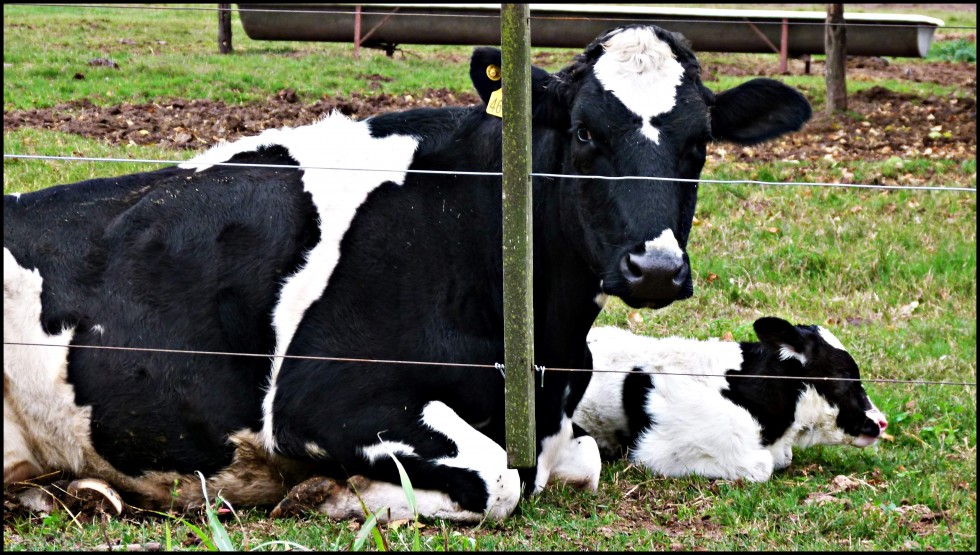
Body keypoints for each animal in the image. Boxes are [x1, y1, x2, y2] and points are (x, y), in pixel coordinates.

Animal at [1, 25, 812, 520]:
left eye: (700, 143)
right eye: (585, 132)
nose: (655, 268)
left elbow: (578, 459)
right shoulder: (320, 399)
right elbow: (500, 477)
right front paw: (333, 494)